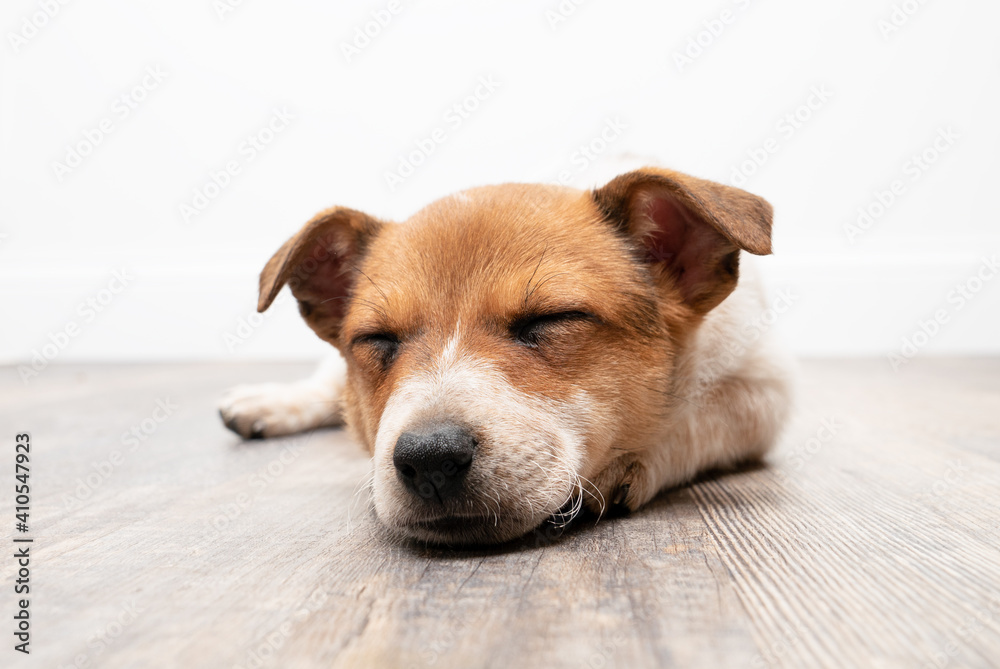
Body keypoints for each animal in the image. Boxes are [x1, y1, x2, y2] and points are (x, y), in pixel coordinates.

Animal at [217, 166, 788, 544]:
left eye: (550, 320)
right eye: (378, 340)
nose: (430, 459)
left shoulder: (764, 390)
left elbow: (694, 421)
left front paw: (623, 466)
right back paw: (264, 403)